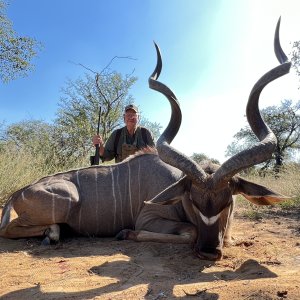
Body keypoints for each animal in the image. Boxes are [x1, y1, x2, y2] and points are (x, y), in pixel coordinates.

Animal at [0, 18, 290, 258]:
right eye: (193, 201)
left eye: (228, 201)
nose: (209, 252)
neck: (173, 182)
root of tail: (17, 194)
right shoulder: (149, 218)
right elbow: (190, 231)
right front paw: (125, 233)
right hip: (66, 199)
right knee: (8, 229)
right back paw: (52, 234)